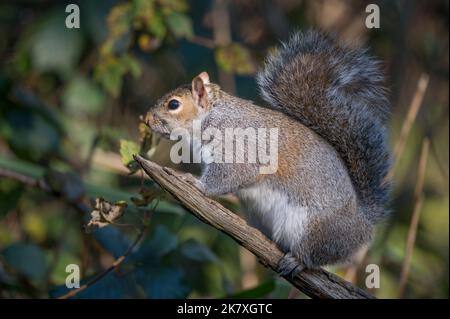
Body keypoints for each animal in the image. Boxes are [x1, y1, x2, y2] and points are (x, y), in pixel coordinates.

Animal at [145, 30, 390, 278]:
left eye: (173, 104)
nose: (146, 120)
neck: (211, 117)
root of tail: (363, 222)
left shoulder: (239, 146)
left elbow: (233, 174)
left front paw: (196, 183)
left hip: (315, 230)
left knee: (314, 255)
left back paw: (297, 261)